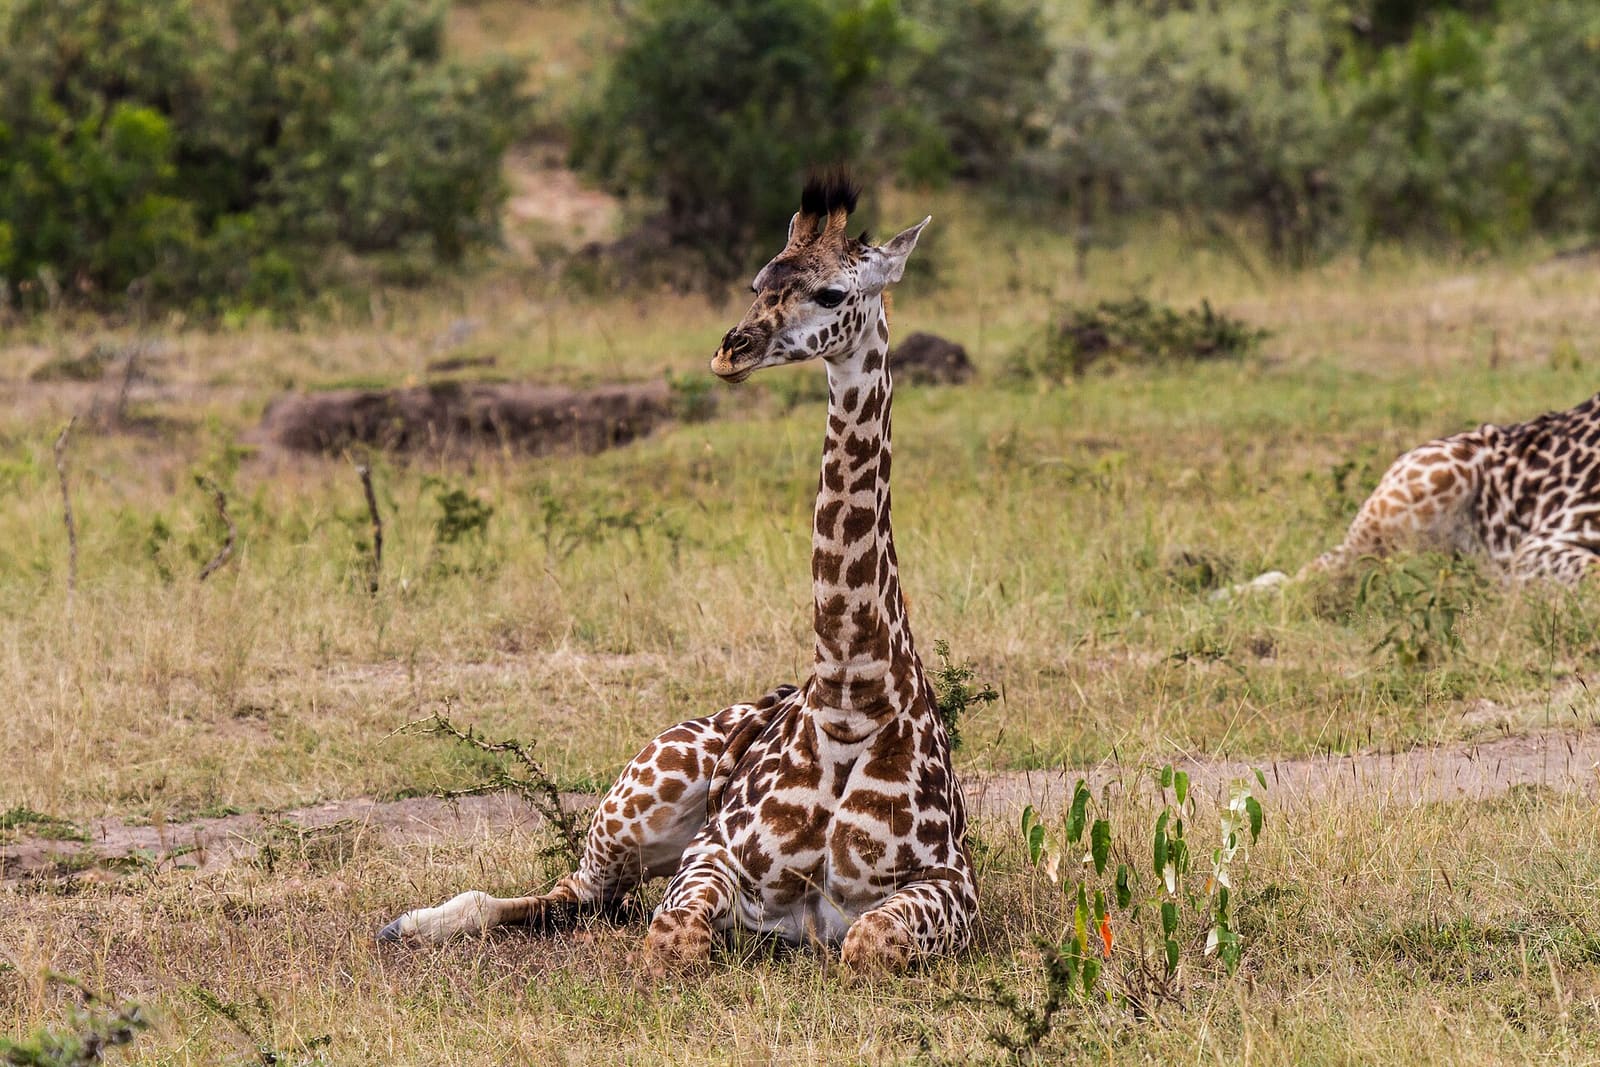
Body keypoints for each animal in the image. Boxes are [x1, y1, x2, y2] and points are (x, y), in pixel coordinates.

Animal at [379, 173, 976, 974]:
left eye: (830, 293)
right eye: (758, 282)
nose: (731, 350)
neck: (851, 700)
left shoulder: (952, 881)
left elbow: (867, 942)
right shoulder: (711, 853)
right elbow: (676, 939)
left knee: (587, 903)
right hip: (637, 805)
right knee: (575, 890)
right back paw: (407, 925)